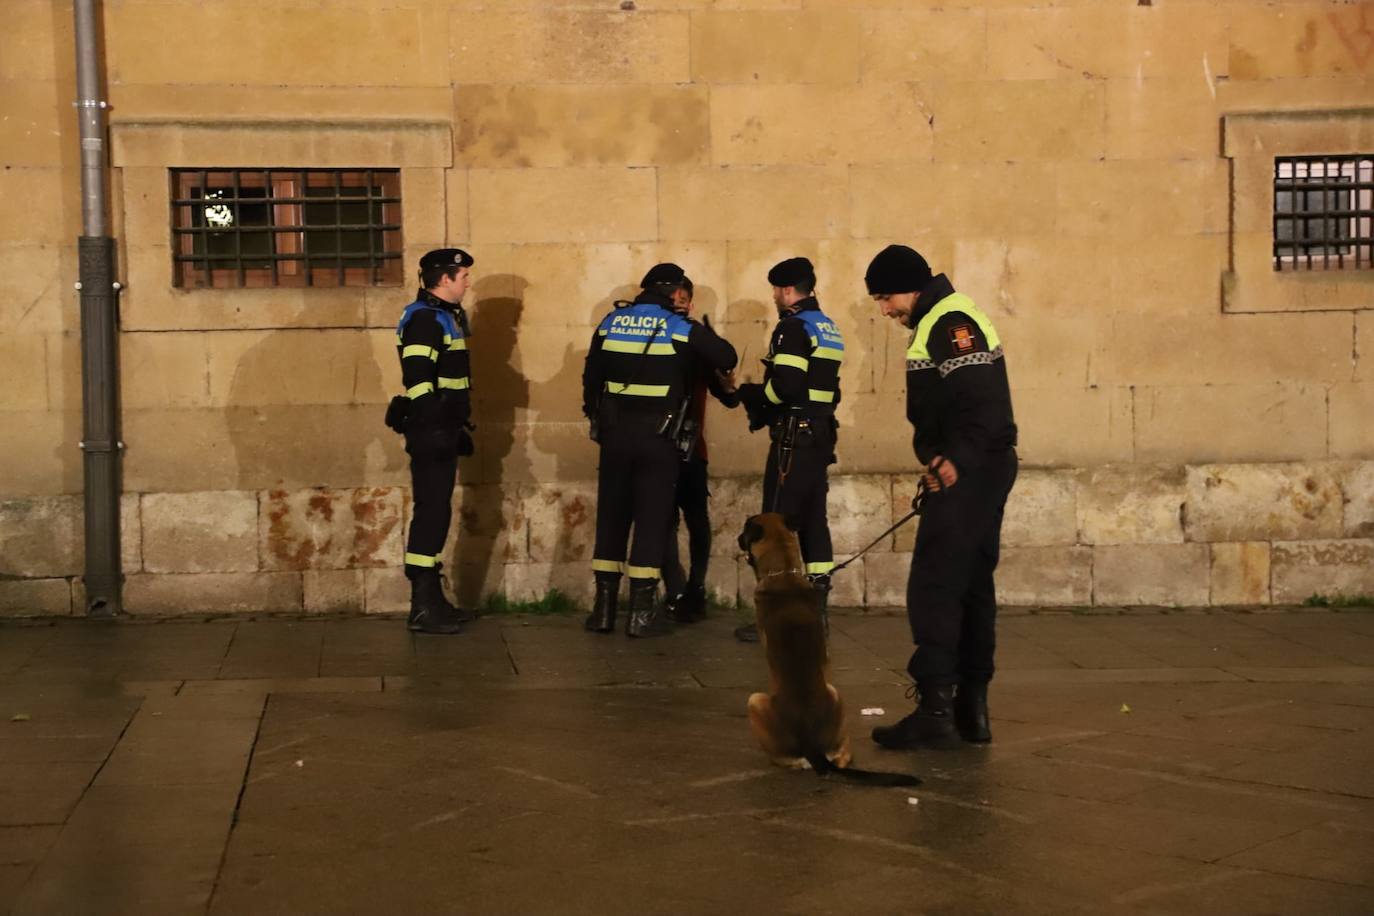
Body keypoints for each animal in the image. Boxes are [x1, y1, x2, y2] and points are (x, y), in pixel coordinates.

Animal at [741, 516, 923, 791]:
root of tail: (811, 746)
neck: (784, 575)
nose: (738, 539)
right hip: (836, 695)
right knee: (842, 756)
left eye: (744, 528)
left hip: (755, 701)